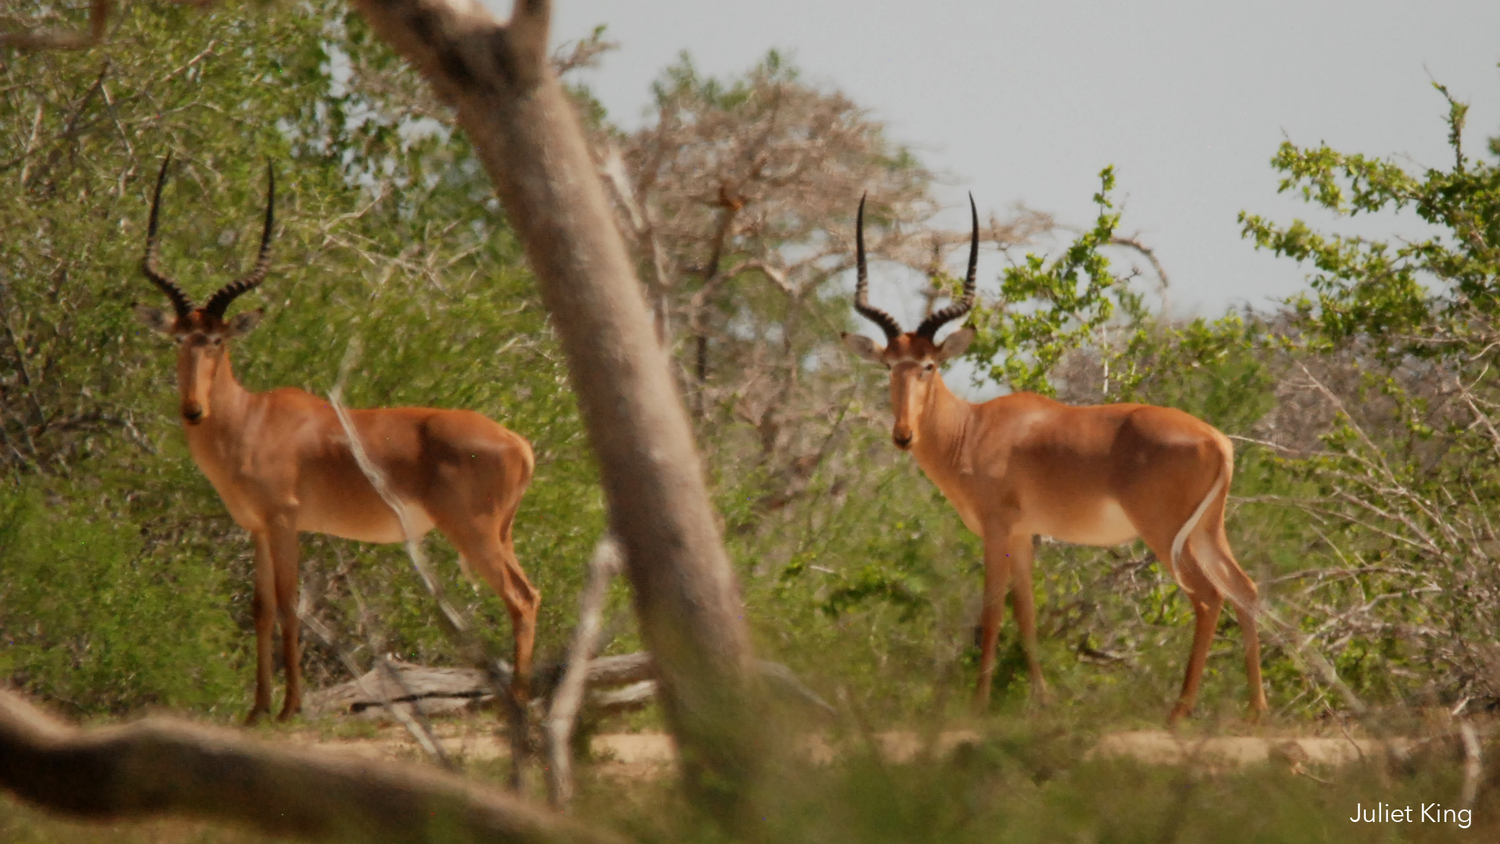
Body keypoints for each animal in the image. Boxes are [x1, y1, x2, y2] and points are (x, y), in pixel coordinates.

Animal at [134, 156, 539, 724]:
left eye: (216, 339)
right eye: (178, 338)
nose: (193, 409)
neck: (252, 419)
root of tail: (516, 441)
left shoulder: (285, 523)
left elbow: (289, 605)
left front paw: (289, 709)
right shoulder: (256, 529)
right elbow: (261, 609)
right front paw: (257, 710)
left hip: (474, 533)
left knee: (521, 599)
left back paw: (520, 706)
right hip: (501, 534)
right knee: (530, 594)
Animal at [841, 195, 1266, 723]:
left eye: (929, 365)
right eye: (888, 365)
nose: (903, 435)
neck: (973, 428)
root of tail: (1217, 440)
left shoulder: (997, 529)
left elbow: (991, 611)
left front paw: (978, 704)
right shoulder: (1024, 535)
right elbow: (1026, 612)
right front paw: (1042, 700)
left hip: (1166, 534)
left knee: (1208, 599)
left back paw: (1178, 713)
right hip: (1208, 531)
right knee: (1245, 589)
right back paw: (1256, 712)